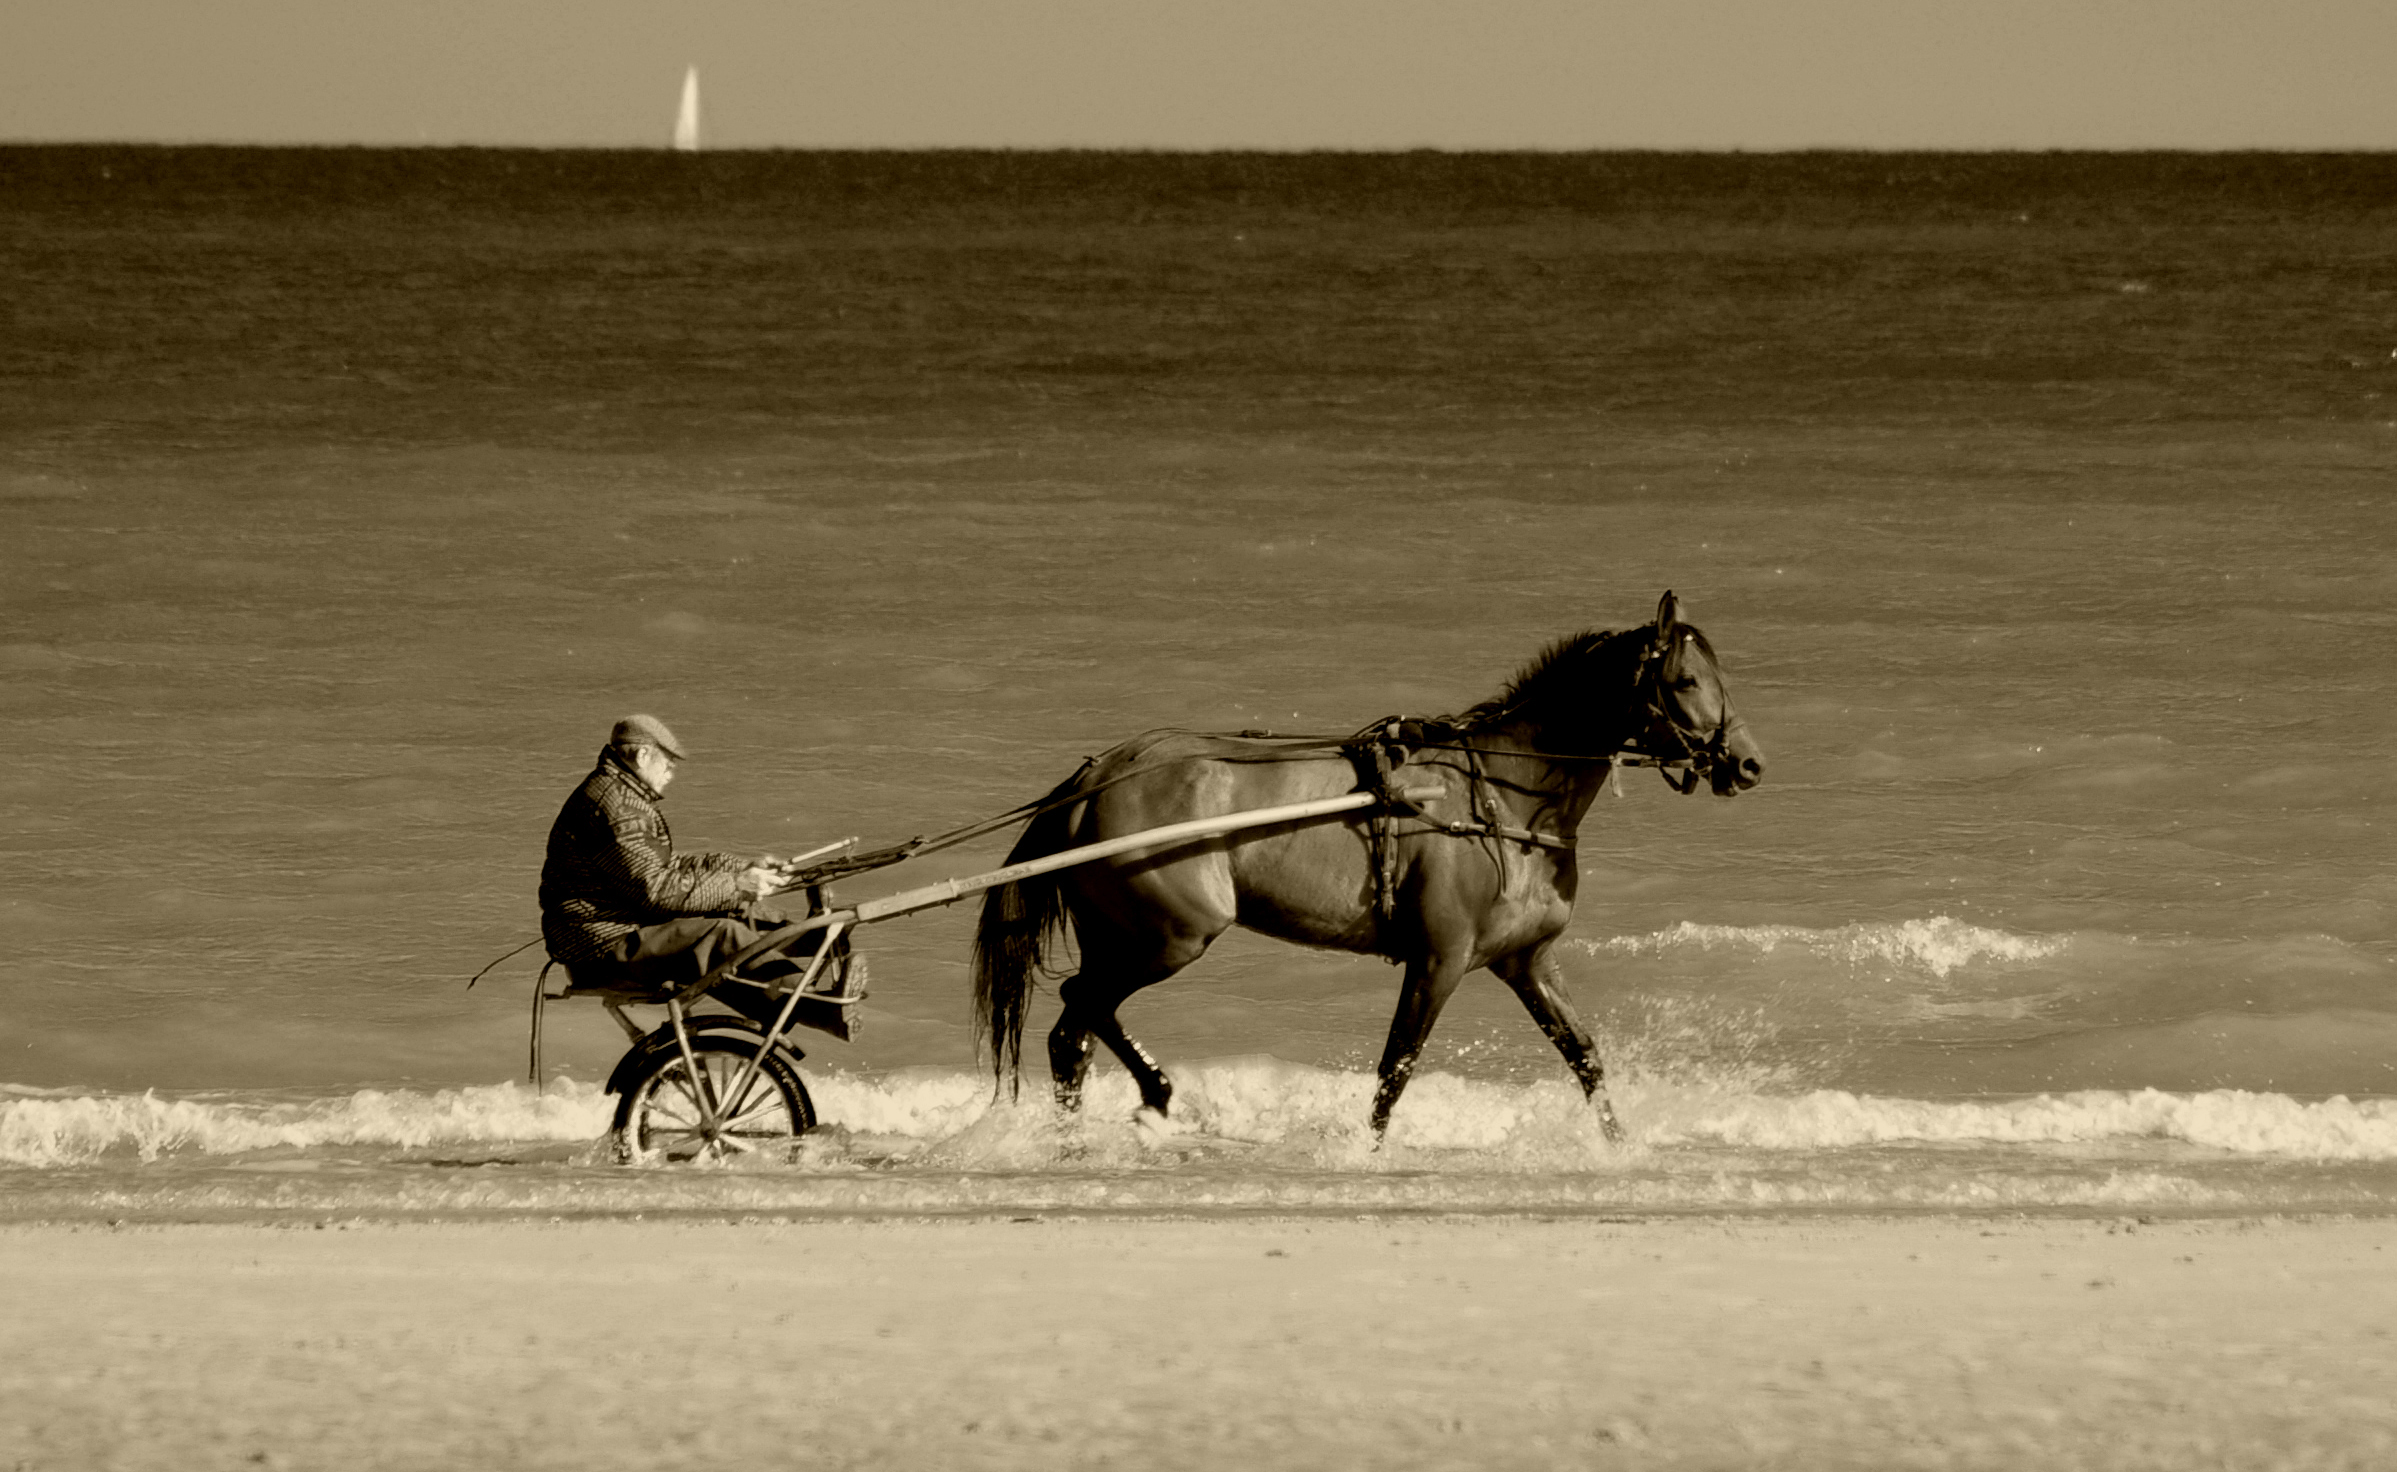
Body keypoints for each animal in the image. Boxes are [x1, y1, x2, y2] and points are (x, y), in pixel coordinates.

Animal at [968, 594, 1764, 1145]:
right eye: (1685, 680)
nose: (1748, 763)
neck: (1503, 796)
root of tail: (1096, 775)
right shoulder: (1439, 958)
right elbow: (1397, 1065)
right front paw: (1367, 1150)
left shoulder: (1527, 960)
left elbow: (1585, 1057)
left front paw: (1619, 1147)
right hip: (1168, 937)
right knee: (1081, 1008)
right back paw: (1148, 1098)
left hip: (1128, 938)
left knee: (1072, 1032)